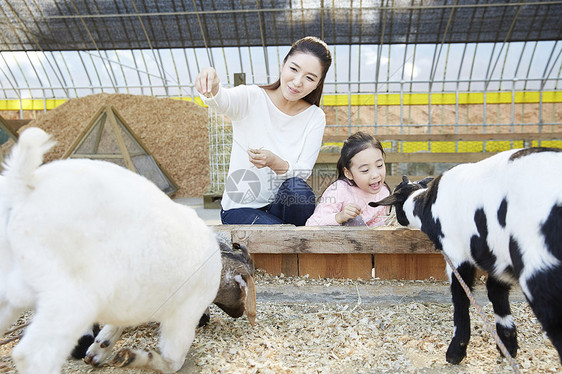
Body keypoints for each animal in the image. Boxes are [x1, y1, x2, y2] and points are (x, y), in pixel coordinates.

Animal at [0, 127, 223, 372]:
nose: (205, 319)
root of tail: (23, 187)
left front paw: (100, 348)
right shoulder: (184, 312)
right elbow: (173, 361)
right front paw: (132, 356)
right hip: (72, 295)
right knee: (31, 354)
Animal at [368, 148, 560, 364]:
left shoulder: (456, 254)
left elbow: (460, 296)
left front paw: (455, 351)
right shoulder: (497, 257)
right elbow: (496, 292)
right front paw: (507, 344)